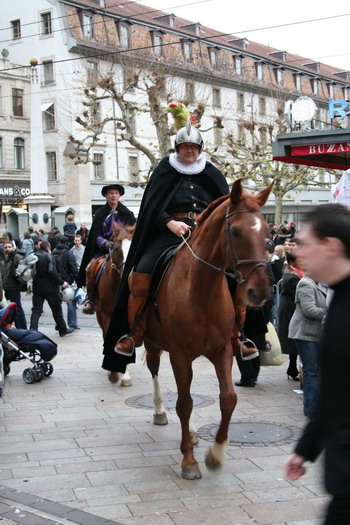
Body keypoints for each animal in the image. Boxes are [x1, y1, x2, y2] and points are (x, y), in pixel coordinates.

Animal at [143, 180, 274, 478]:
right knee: (155, 371)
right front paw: (189, 462)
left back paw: (191, 433)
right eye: (235, 231)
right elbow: (184, 403)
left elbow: (228, 398)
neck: (201, 289)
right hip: (151, 342)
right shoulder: (180, 354)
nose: (260, 291)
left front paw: (216, 453)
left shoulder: (221, 349)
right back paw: (159, 412)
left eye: (267, 233)